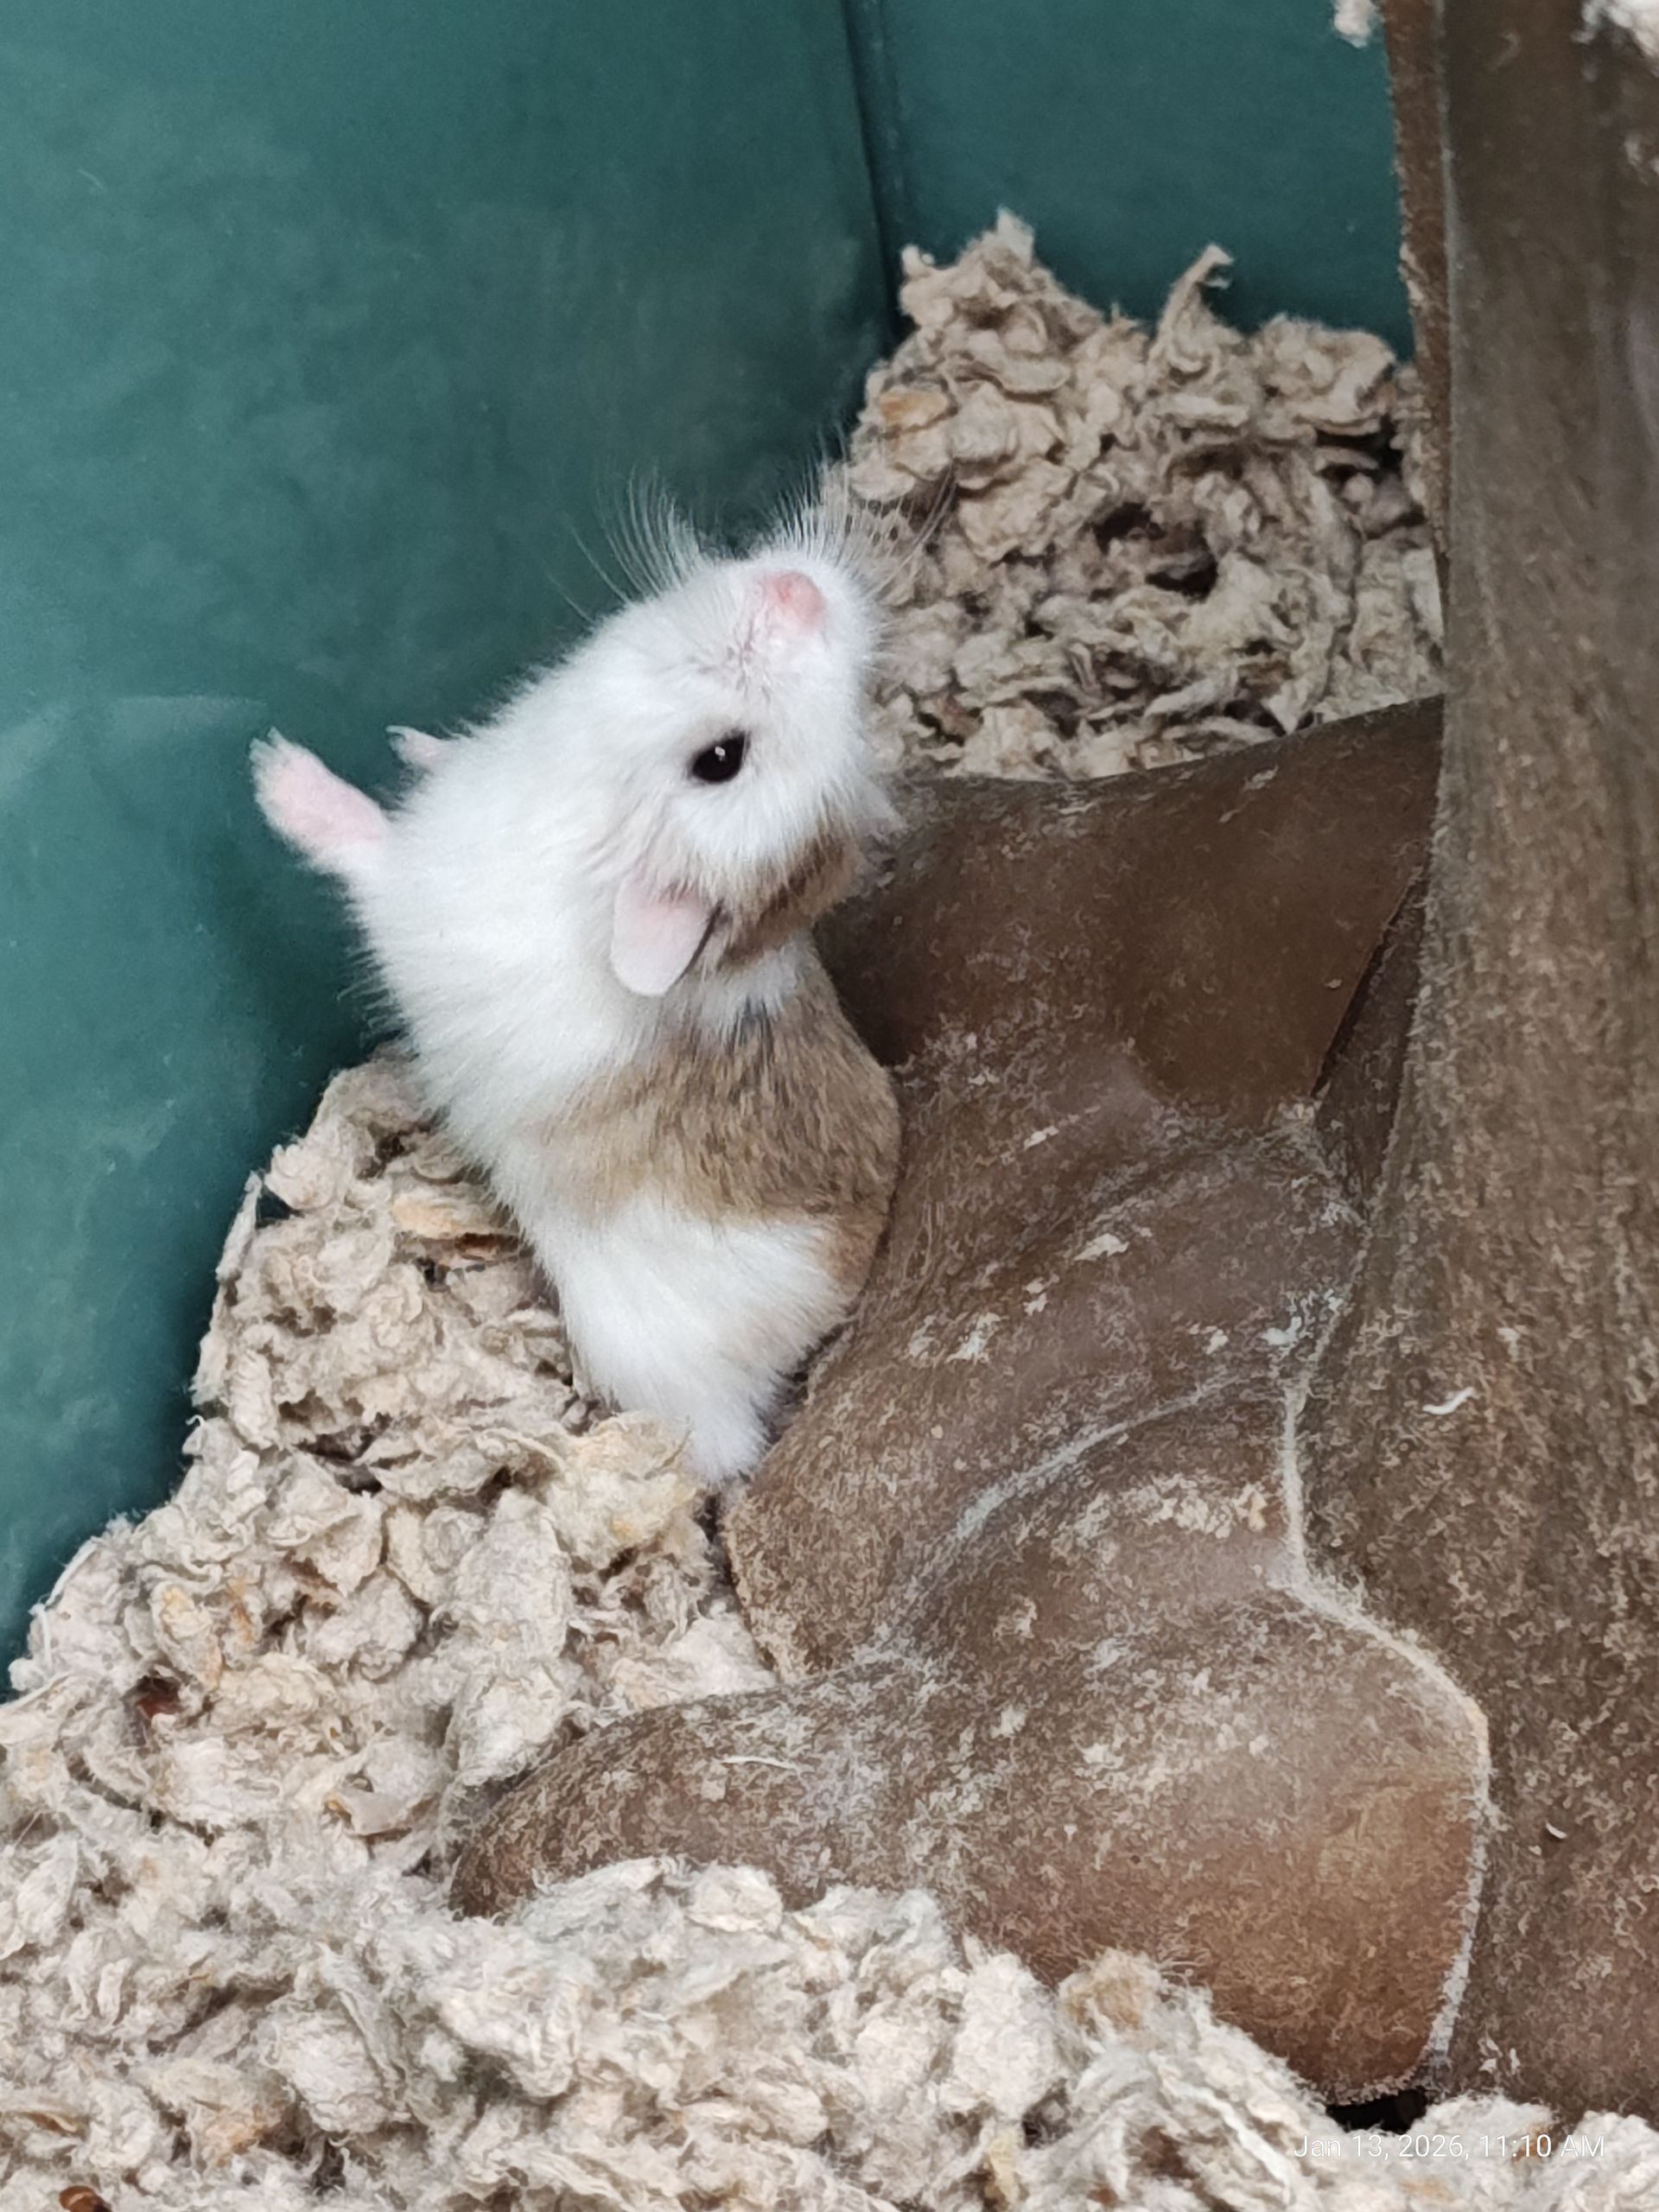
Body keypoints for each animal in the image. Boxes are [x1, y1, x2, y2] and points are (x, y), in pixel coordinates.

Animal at [252, 507, 901, 1484]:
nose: (798, 588)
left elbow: (363, 844)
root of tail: (816, 1333)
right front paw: (411, 742)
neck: (572, 780)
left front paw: (273, 767)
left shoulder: (411, 897)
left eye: (722, 761)